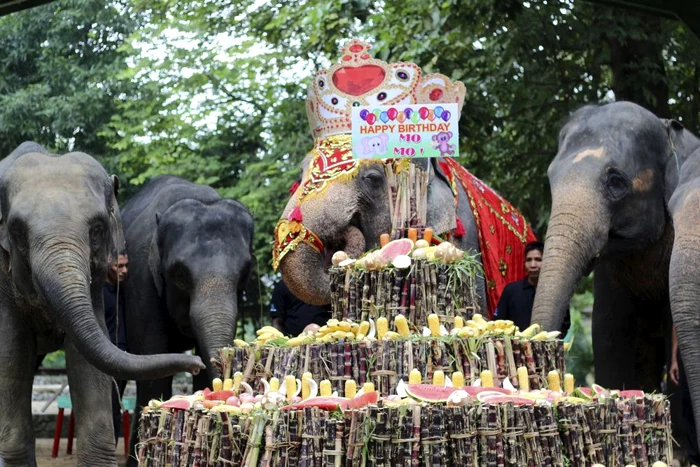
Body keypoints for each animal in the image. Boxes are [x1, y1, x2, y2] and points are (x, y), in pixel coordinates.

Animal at [0, 144, 204, 467]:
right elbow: (11, 353)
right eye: (17, 230)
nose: (198, 364)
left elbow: (87, 361)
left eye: (96, 228)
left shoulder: (94, 289)